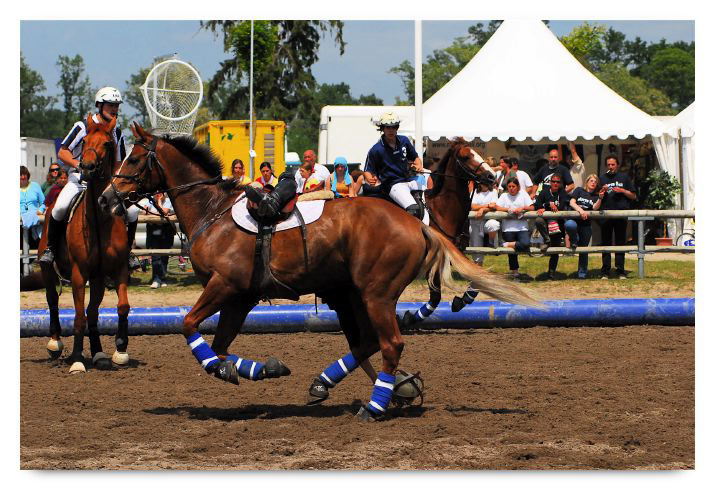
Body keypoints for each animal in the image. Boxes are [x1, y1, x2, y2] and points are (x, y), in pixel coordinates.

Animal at [37, 115, 132, 373]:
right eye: (85, 140)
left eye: (107, 144)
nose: (87, 168)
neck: (99, 221)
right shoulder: (79, 273)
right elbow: (79, 316)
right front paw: (78, 360)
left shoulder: (117, 269)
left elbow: (121, 307)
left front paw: (120, 349)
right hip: (48, 269)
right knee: (53, 300)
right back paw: (55, 343)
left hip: (97, 279)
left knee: (93, 312)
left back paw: (99, 354)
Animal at [99, 123, 539, 420]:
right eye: (466, 156)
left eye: (133, 158)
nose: (105, 198)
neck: (213, 212)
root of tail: (415, 223)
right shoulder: (240, 296)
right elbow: (220, 345)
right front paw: (258, 368)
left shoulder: (225, 287)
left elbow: (189, 325)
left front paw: (225, 369)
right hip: (355, 294)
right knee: (369, 343)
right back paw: (346, 386)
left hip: (375, 293)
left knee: (389, 343)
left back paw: (375, 405)